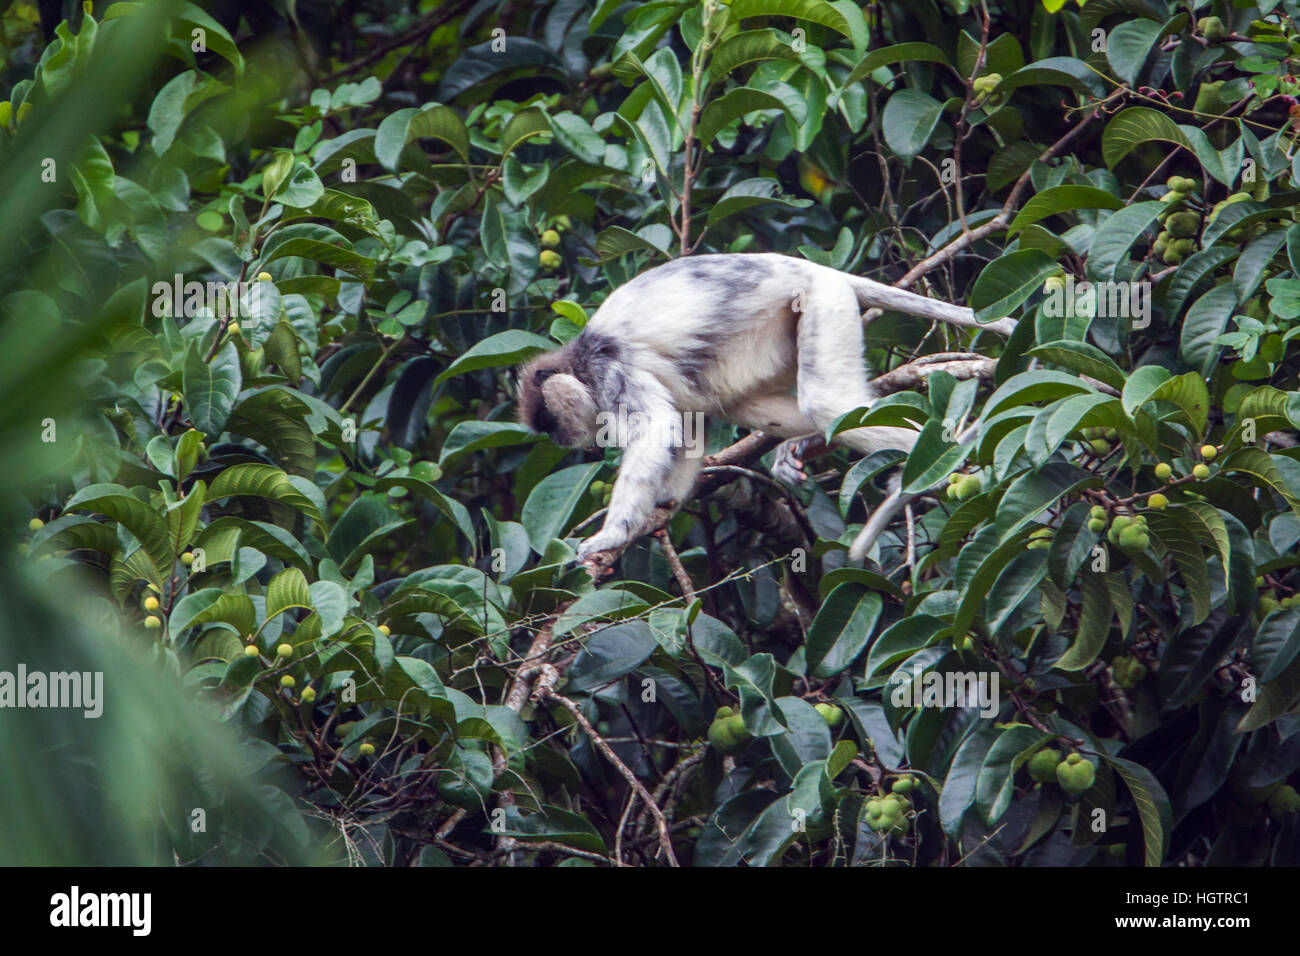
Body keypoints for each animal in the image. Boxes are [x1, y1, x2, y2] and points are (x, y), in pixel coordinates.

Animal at [512, 251, 1008, 572]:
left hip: (823, 300)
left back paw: (935, 464)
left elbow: (658, 428)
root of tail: (817, 267)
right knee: (739, 398)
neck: (578, 358)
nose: (561, 440)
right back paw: (807, 444)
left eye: (551, 424)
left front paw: (613, 533)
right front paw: (666, 502)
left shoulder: (610, 367)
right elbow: (686, 427)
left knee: (824, 402)